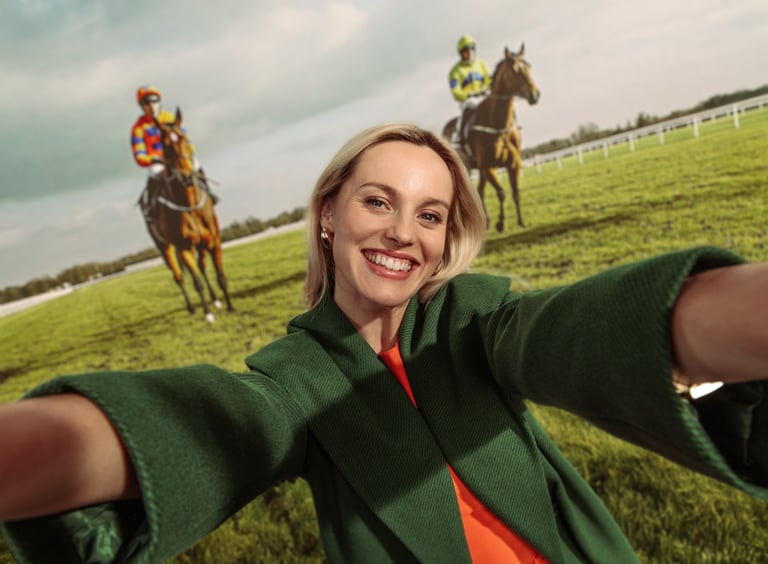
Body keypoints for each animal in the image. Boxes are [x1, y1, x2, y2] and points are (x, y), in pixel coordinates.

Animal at [140, 107, 233, 322]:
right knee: (179, 276)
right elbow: (196, 281)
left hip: (201, 244)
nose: (187, 177)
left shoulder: (213, 240)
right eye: (166, 146)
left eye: (183, 138)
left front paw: (229, 305)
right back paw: (192, 307)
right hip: (165, 247)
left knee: (202, 267)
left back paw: (215, 299)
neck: (190, 206)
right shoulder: (184, 247)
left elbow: (219, 276)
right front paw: (207, 314)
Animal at [443, 43, 540, 232]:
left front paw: (521, 221)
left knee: (479, 190)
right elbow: (500, 192)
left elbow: (515, 192)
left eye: (529, 67)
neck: (498, 126)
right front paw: (500, 223)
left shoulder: (513, 162)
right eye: (515, 71)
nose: (535, 95)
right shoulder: (487, 166)